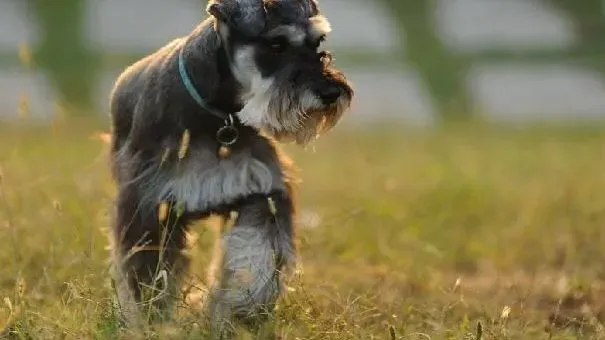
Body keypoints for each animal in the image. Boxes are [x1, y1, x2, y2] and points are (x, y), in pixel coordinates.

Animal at [107, 0, 354, 336]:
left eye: (318, 42)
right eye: (276, 44)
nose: (330, 92)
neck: (218, 118)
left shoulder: (260, 192)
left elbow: (255, 254)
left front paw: (243, 308)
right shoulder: (149, 205)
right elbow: (148, 273)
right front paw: (147, 318)